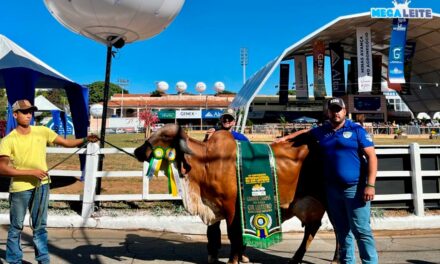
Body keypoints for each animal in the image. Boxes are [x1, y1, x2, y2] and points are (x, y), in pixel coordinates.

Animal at [136, 124, 336, 264]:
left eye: (163, 136)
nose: (138, 151)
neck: (205, 162)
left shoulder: (231, 206)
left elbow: (233, 234)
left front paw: (234, 260)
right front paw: (237, 256)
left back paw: (333, 259)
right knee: (313, 227)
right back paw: (296, 257)